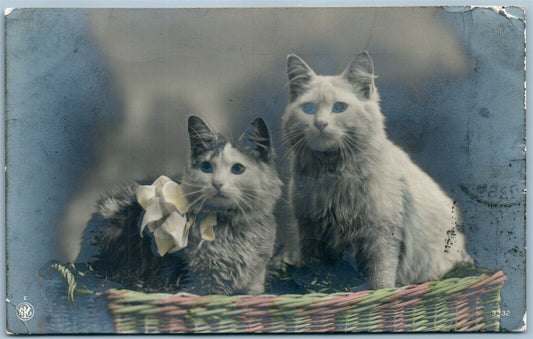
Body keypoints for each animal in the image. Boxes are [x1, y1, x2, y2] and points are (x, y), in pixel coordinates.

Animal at [81, 115, 280, 294]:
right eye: (206, 167)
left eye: (238, 169)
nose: (217, 183)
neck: (228, 230)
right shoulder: (197, 282)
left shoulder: (256, 281)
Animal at [282, 51, 474, 290]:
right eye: (308, 108)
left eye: (339, 108)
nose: (320, 124)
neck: (332, 173)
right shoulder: (309, 229)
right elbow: (313, 268)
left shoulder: (381, 232)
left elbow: (380, 275)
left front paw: (381, 293)